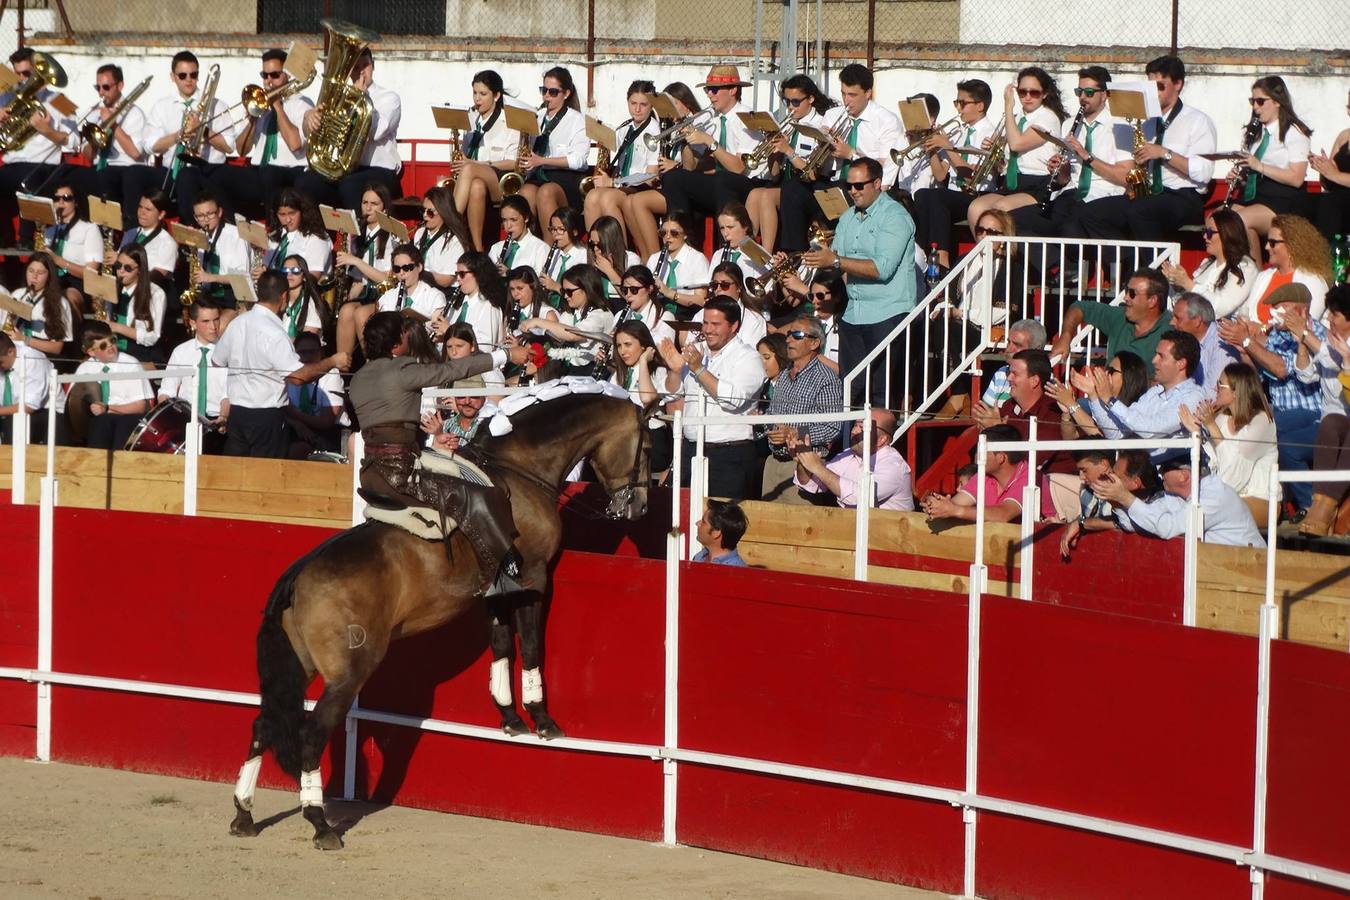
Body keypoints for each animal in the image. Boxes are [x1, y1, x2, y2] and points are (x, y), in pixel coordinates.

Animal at [226, 391, 648, 847]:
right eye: (646, 448)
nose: (637, 505)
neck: (522, 468)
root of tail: (298, 576)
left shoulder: (496, 589)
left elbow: (501, 643)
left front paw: (510, 717)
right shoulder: (534, 577)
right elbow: (532, 643)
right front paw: (542, 719)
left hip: (298, 665)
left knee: (264, 723)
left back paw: (244, 813)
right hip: (350, 671)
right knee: (311, 732)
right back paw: (319, 822)